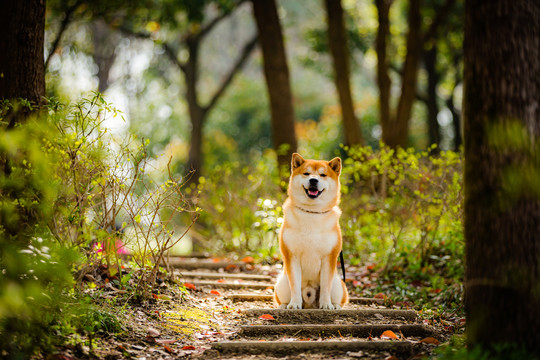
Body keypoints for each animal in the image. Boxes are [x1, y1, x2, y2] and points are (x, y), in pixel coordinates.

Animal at [272, 153, 348, 308]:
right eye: (306, 173)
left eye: (323, 175)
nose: (313, 180)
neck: (311, 213)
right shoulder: (292, 255)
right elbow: (295, 285)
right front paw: (295, 304)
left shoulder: (329, 257)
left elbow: (325, 286)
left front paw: (326, 305)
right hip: (281, 284)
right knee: (282, 297)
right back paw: (284, 305)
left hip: (339, 285)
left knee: (340, 298)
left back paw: (335, 305)